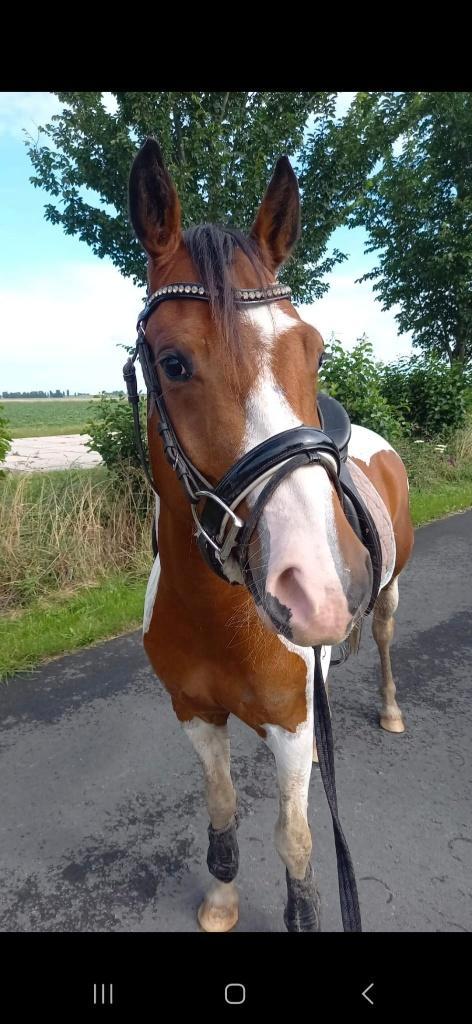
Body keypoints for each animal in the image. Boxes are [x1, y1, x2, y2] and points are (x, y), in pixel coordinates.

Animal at [125, 138, 414, 933]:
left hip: (387, 595)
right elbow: (222, 804)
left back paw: (388, 708)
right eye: (173, 363)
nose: (318, 585)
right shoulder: (195, 715)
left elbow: (295, 838)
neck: (217, 612)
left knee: (382, 639)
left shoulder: (288, 728)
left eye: (313, 350)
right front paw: (222, 898)